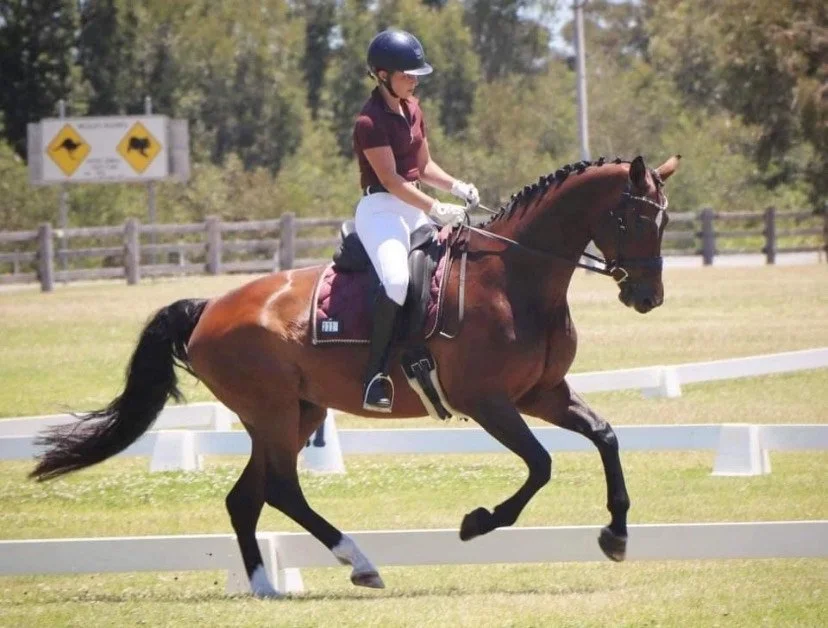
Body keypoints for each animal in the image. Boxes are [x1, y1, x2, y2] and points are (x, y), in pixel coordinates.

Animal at [30, 154, 680, 597]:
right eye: (631, 217)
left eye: (665, 222)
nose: (648, 297)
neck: (514, 276)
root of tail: (209, 307)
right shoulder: (490, 401)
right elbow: (541, 465)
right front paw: (477, 523)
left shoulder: (542, 393)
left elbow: (606, 437)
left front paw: (616, 535)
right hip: (271, 412)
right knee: (280, 490)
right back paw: (358, 562)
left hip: (298, 412)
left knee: (247, 497)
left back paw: (267, 585)